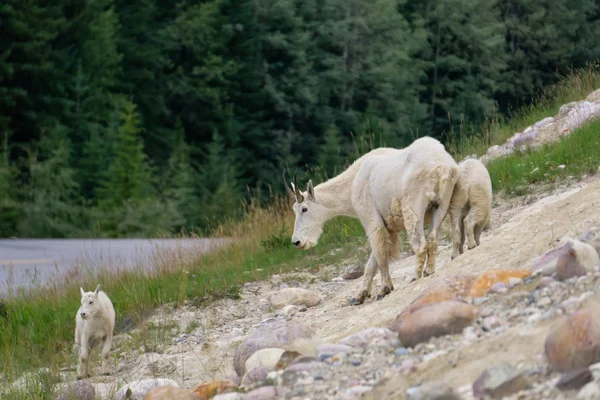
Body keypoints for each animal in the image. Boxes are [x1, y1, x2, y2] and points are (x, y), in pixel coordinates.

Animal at [284, 136, 458, 304]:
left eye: (304, 209)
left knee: (420, 245)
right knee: (433, 240)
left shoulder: (371, 220)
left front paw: (384, 289)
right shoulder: (388, 226)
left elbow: (380, 255)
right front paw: (358, 296)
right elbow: (372, 261)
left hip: (414, 206)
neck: (352, 183)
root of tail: (442, 167)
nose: (297, 242)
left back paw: (416, 276)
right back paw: (429, 270)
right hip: (442, 205)